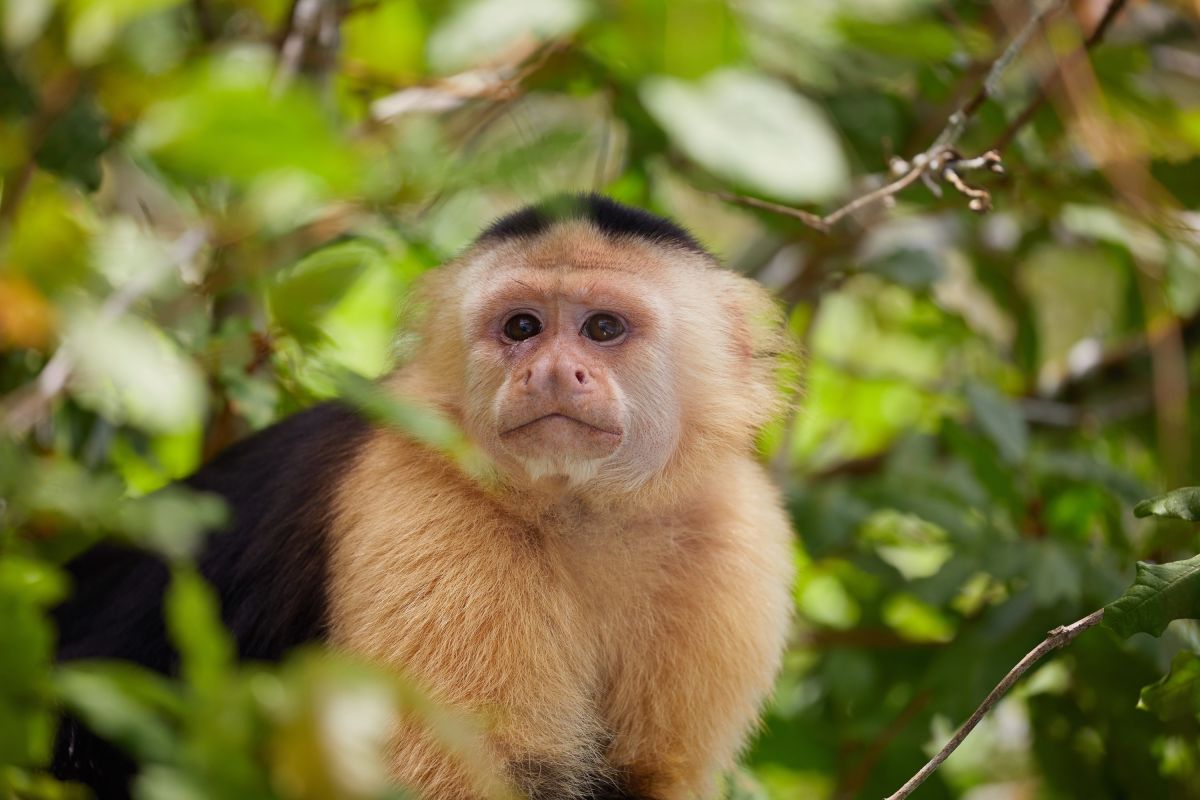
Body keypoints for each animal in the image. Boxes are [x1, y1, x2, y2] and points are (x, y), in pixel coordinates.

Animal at [51, 194, 796, 800]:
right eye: (522, 327)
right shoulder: (421, 505)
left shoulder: (732, 534)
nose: (554, 373)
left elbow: (652, 774)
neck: (580, 513)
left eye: (603, 329)